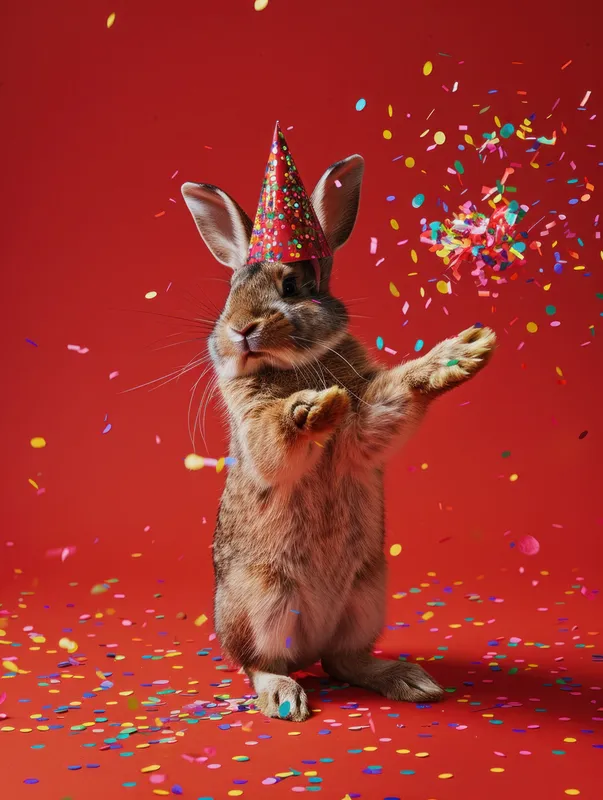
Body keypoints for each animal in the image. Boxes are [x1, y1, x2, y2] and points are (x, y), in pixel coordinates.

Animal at [181, 153, 496, 723]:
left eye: (291, 286)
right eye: (229, 293)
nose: (241, 329)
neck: (293, 366)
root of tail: (309, 645)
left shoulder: (366, 425)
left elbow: (387, 404)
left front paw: (464, 353)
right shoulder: (254, 424)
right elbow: (273, 439)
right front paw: (312, 407)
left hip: (366, 596)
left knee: (343, 661)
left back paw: (411, 681)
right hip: (263, 601)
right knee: (260, 664)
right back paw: (285, 697)